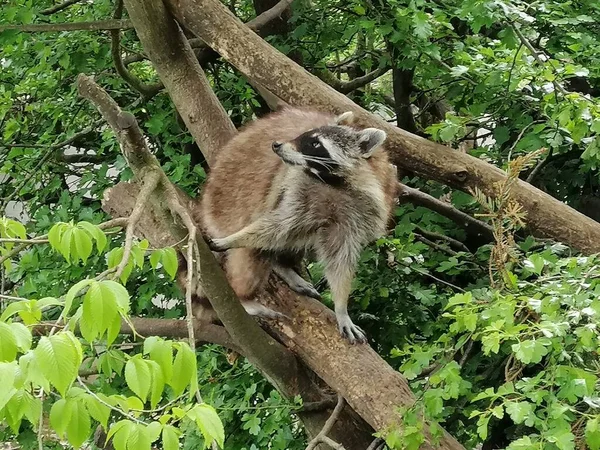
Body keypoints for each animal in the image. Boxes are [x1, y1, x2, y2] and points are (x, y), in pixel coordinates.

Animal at [192, 106, 398, 344]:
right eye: (305, 135)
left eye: (316, 144)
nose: (276, 145)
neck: (334, 182)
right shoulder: (298, 186)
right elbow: (279, 223)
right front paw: (234, 239)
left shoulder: (360, 213)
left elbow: (340, 258)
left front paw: (341, 307)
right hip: (227, 202)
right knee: (256, 249)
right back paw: (245, 295)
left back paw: (280, 266)